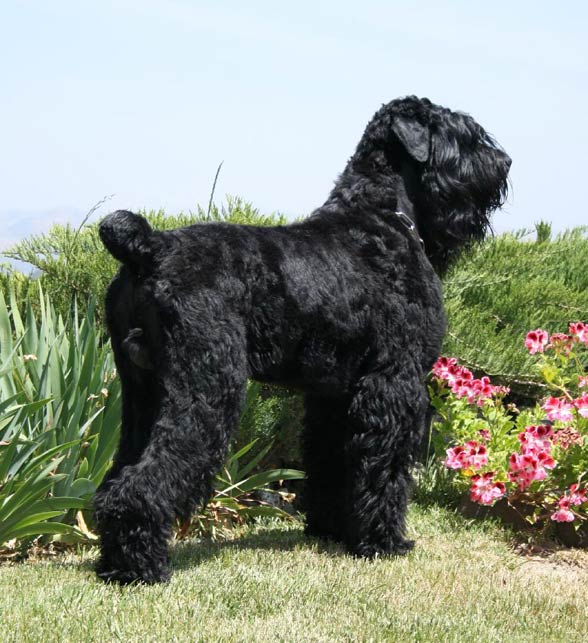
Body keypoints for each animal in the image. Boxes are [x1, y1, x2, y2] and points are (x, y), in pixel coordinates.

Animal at [94, 95, 508, 584]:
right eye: (464, 135)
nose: (503, 163)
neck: (381, 216)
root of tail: (149, 249)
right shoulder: (392, 382)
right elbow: (384, 466)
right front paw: (383, 541)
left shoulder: (333, 393)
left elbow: (332, 459)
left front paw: (332, 530)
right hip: (206, 388)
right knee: (149, 476)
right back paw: (142, 567)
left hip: (141, 392)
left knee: (119, 475)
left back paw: (113, 561)